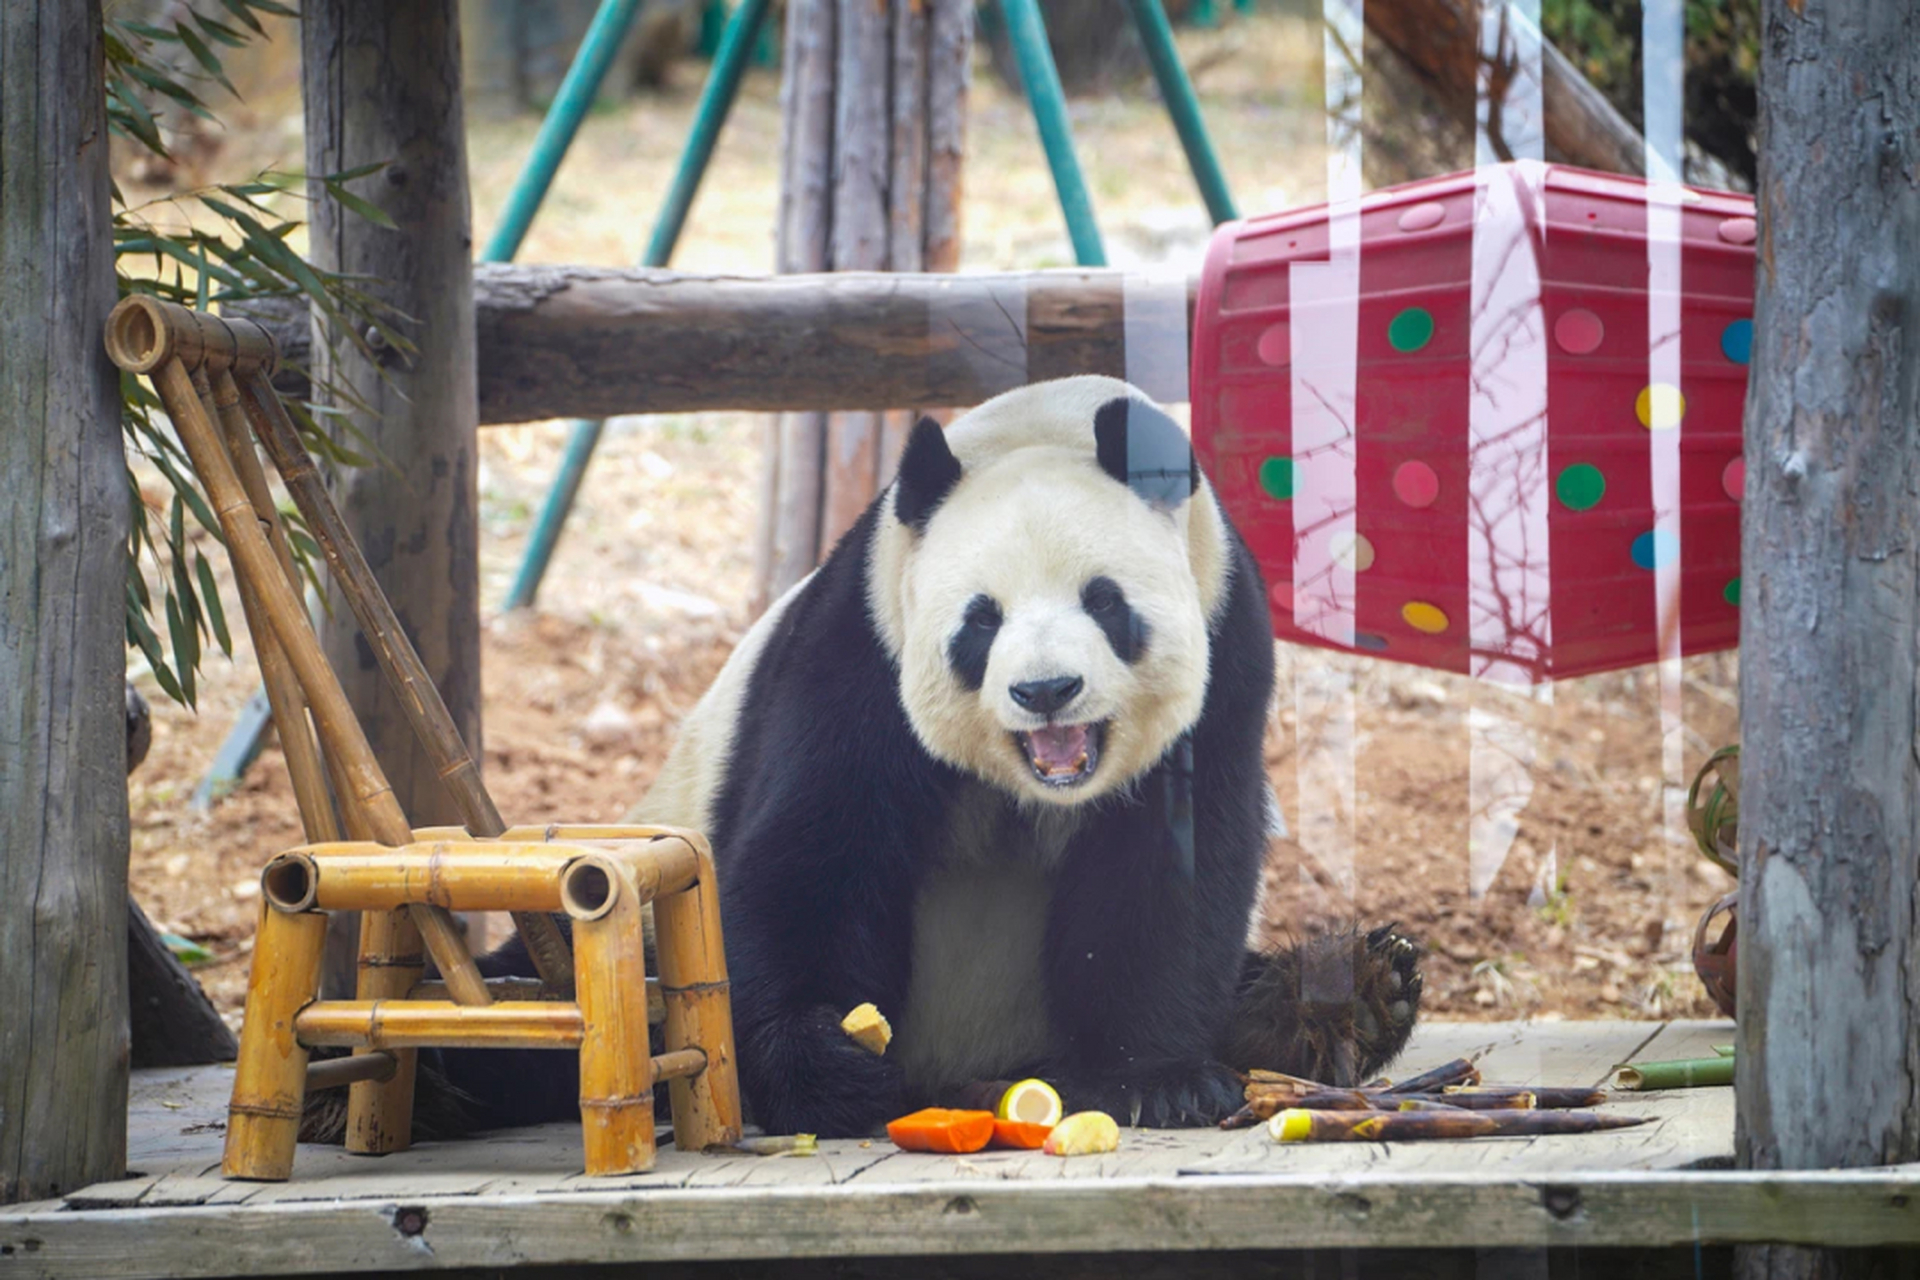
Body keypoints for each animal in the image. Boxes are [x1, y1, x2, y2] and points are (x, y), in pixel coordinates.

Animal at [439, 376, 1428, 1136]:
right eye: (980, 620)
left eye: (1104, 601)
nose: (1046, 690)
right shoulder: (864, 645)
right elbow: (815, 853)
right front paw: (828, 1068)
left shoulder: (1226, 647)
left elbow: (1167, 871)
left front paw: (1157, 1080)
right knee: (526, 1014)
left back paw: (1349, 997)